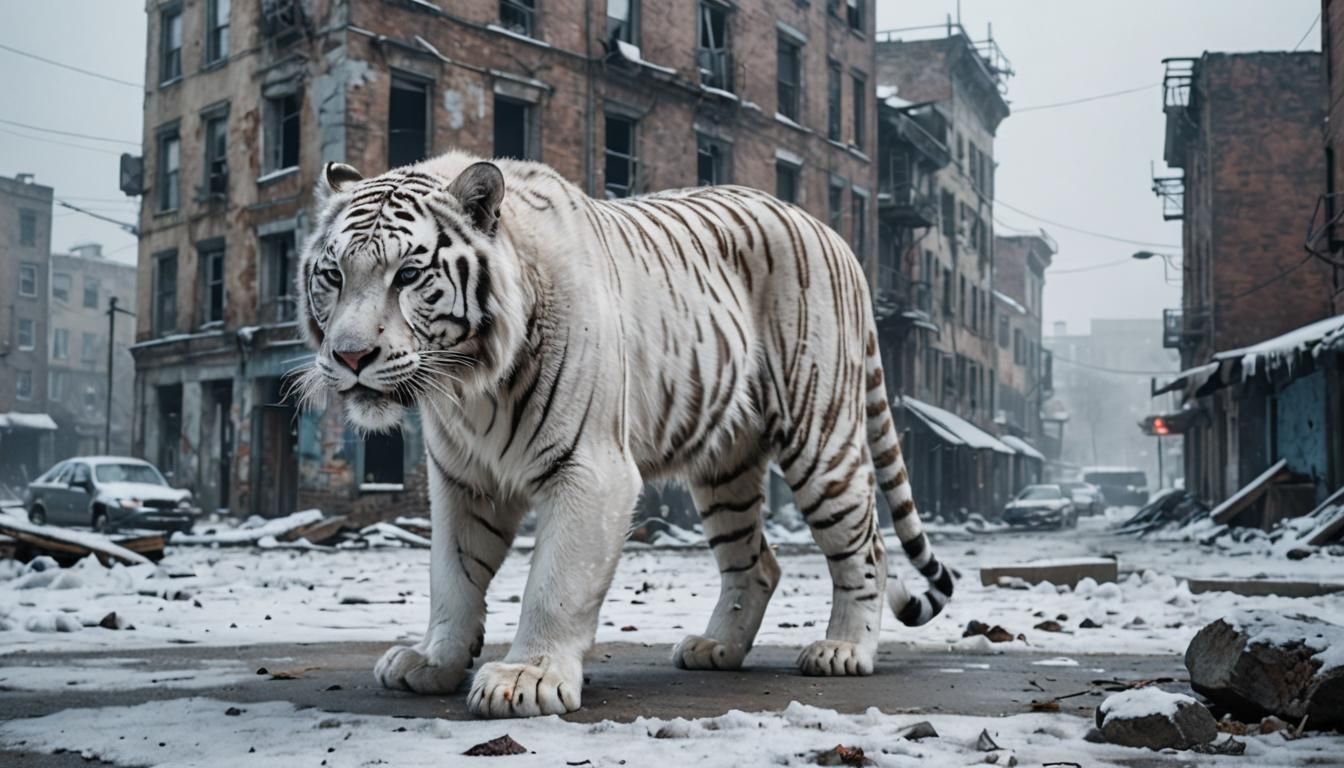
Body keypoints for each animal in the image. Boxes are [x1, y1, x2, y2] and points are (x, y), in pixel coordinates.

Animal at [296, 150, 955, 718]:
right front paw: (433, 661)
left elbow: (555, 584)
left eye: (408, 274)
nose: (350, 356)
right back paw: (716, 649)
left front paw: (527, 678)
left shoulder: (591, 470)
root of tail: (833, 235)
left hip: (821, 437)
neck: (470, 382)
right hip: (725, 466)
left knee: (866, 547)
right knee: (756, 563)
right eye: (332, 274)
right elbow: (451, 577)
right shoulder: (463, 480)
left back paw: (843, 650)